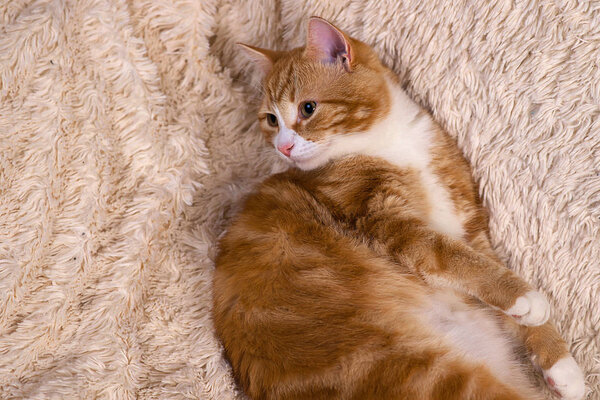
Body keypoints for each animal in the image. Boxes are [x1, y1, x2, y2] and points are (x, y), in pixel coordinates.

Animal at [212, 16, 584, 400]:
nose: (283, 147)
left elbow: (482, 262)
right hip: (430, 375)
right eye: (271, 120)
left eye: (308, 108)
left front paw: (559, 362)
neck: (389, 144)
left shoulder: (468, 223)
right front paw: (523, 297)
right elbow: (454, 258)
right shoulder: (385, 222)